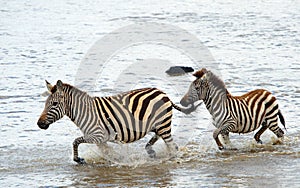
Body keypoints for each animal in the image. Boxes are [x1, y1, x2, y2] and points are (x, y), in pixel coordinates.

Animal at [37, 80, 198, 164]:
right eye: (45, 104)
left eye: (54, 104)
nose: (39, 124)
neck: (84, 112)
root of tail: (164, 94)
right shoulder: (100, 140)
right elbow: (108, 152)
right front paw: (118, 159)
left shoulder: (97, 135)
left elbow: (75, 141)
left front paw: (78, 159)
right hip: (158, 125)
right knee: (159, 139)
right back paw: (151, 151)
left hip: (163, 125)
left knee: (173, 147)